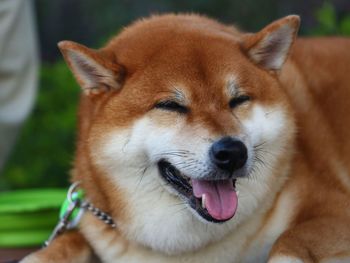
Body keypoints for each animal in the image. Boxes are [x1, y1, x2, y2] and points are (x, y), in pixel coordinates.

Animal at [22, 14, 350, 263]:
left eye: (238, 100)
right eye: (171, 105)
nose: (233, 152)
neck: (189, 249)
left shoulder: (334, 210)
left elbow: (288, 242)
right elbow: (66, 241)